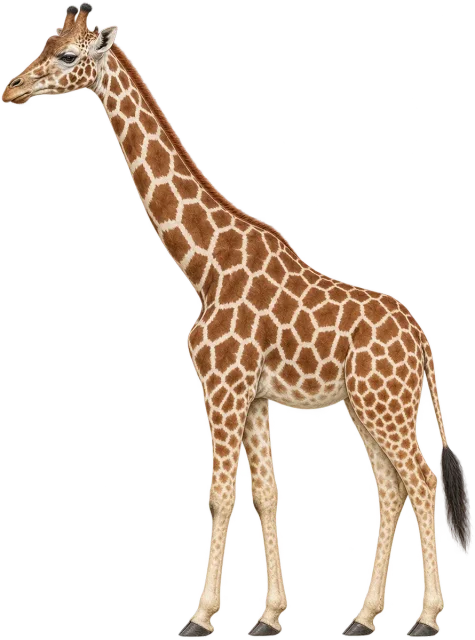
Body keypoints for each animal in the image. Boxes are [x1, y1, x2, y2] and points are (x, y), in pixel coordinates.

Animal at [1, 5, 472, 639]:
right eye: (46, 43)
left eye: (69, 56)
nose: (11, 88)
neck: (202, 263)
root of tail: (423, 341)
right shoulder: (252, 398)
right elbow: (267, 496)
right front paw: (270, 617)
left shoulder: (224, 388)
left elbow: (221, 495)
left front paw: (200, 617)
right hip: (366, 406)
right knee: (393, 488)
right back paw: (364, 618)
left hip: (387, 405)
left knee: (422, 484)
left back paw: (424, 618)